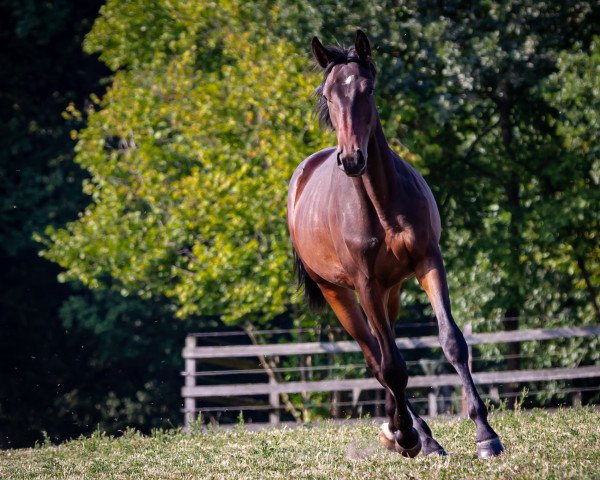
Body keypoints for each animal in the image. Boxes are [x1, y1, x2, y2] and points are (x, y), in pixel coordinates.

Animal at [288, 31, 504, 460]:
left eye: (367, 89)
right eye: (329, 95)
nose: (352, 159)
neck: (382, 203)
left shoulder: (428, 260)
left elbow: (452, 342)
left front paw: (485, 434)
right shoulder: (365, 283)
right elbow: (391, 366)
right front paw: (404, 435)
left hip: (391, 290)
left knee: (386, 349)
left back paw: (417, 433)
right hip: (339, 293)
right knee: (377, 357)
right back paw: (410, 434)